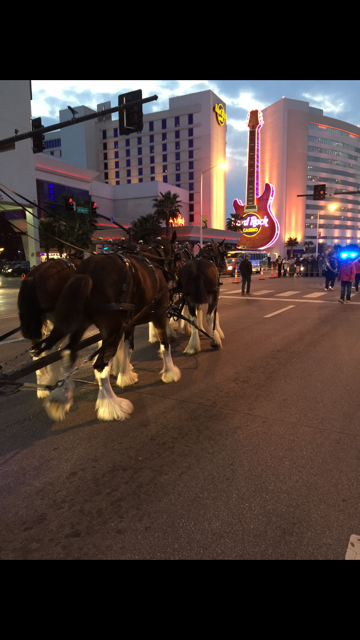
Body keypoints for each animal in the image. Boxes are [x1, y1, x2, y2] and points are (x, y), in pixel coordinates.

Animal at [34, 234, 179, 420]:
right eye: (176, 254)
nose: (174, 279)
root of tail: (87, 271)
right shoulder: (159, 314)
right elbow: (165, 345)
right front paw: (170, 373)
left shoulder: (129, 323)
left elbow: (128, 349)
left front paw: (125, 376)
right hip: (111, 327)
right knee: (99, 366)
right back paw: (112, 406)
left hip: (82, 324)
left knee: (68, 353)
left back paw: (60, 396)